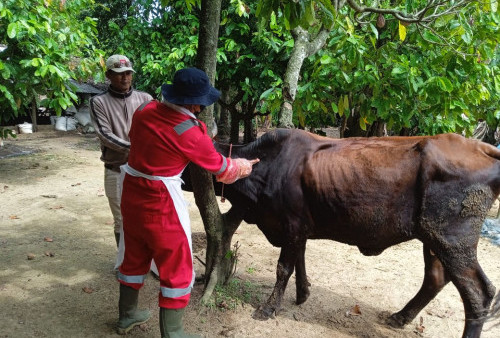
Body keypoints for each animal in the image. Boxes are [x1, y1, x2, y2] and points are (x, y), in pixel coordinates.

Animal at [185, 128, 500, 336]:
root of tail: (482, 148)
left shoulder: (292, 226)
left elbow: (283, 267)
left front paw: (269, 308)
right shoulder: (299, 228)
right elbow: (299, 260)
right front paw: (302, 294)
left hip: (452, 240)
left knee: (478, 294)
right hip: (432, 238)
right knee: (435, 279)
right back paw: (400, 317)